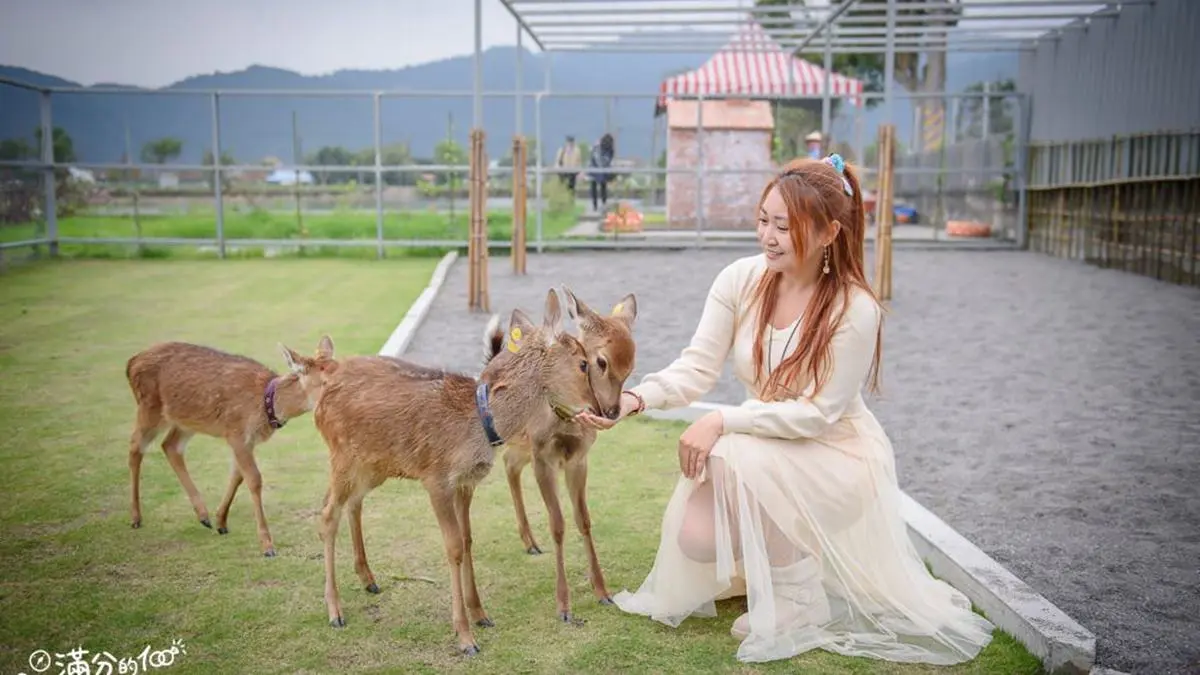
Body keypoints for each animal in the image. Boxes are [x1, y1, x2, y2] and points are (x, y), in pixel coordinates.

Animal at [125, 335, 336, 557]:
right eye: (323, 381)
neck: (265, 405)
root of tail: (131, 363)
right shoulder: (236, 433)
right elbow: (254, 479)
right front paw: (267, 546)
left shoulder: (246, 441)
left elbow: (237, 476)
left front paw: (221, 522)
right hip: (150, 406)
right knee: (135, 446)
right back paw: (136, 517)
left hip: (186, 419)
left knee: (170, 446)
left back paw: (203, 516)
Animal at [312, 289, 601, 656]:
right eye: (582, 363)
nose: (600, 408)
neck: (479, 424)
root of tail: (319, 400)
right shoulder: (435, 478)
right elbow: (452, 547)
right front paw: (465, 638)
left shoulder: (467, 481)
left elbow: (467, 540)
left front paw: (481, 614)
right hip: (342, 456)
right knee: (326, 514)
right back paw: (335, 611)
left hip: (373, 466)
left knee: (351, 503)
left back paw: (369, 580)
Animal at [486, 286, 638, 625]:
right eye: (601, 361)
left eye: (631, 366)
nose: (610, 411)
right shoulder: (544, 458)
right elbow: (557, 524)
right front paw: (564, 607)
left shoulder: (579, 459)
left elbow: (584, 520)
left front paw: (603, 592)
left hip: (522, 447)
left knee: (510, 464)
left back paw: (530, 542)